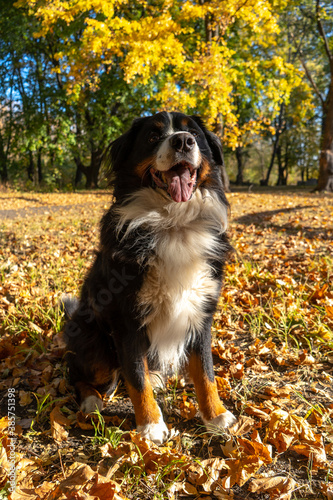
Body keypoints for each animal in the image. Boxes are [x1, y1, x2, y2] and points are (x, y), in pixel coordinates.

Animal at [64, 111, 236, 444]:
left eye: (194, 133)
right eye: (153, 137)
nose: (183, 141)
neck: (173, 222)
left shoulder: (201, 313)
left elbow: (205, 371)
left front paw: (216, 415)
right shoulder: (126, 319)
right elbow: (136, 376)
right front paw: (151, 425)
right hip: (93, 342)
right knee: (77, 373)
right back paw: (91, 401)